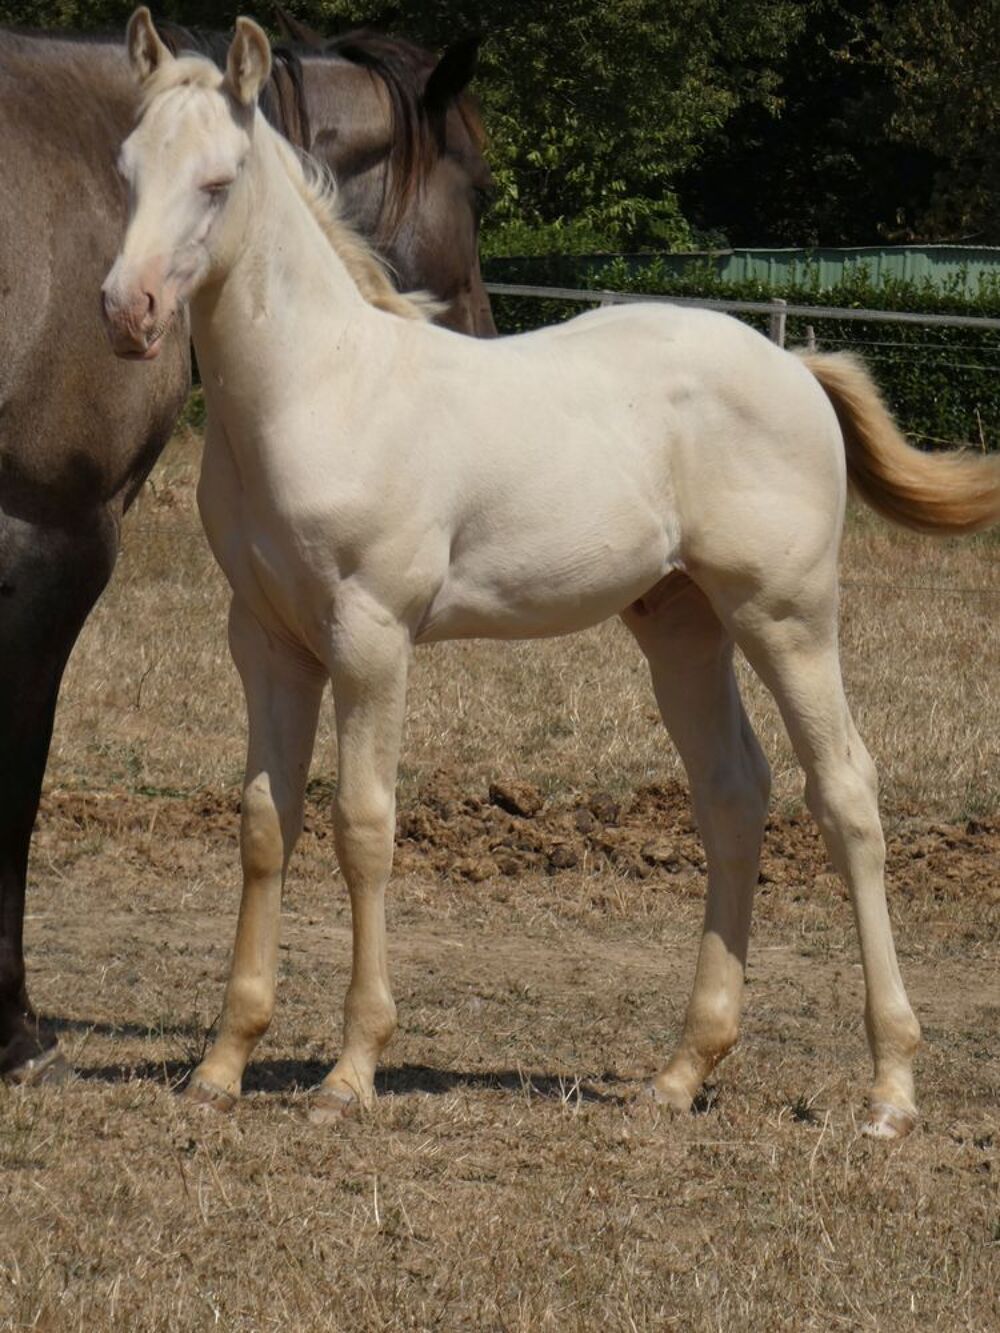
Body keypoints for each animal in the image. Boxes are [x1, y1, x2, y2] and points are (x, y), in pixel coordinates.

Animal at [103, 12, 1000, 1138]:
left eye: (218, 182)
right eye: (128, 170)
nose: (127, 310)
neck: (323, 387)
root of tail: (794, 366)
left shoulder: (371, 636)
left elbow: (363, 825)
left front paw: (351, 1069)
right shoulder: (264, 638)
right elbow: (267, 824)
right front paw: (223, 1062)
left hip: (787, 615)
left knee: (845, 795)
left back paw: (889, 1088)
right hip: (681, 624)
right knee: (732, 794)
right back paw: (682, 1072)